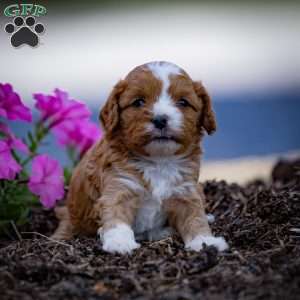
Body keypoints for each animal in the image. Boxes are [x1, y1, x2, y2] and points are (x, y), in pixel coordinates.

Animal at [52, 62, 229, 254]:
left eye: (183, 102)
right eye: (138, 102)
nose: (160, 119)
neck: (159, 161)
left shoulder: (185, 191)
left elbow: (194, 216)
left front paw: (205, 241)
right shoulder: (119, 185)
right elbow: (116, 214)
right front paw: (119, 242)